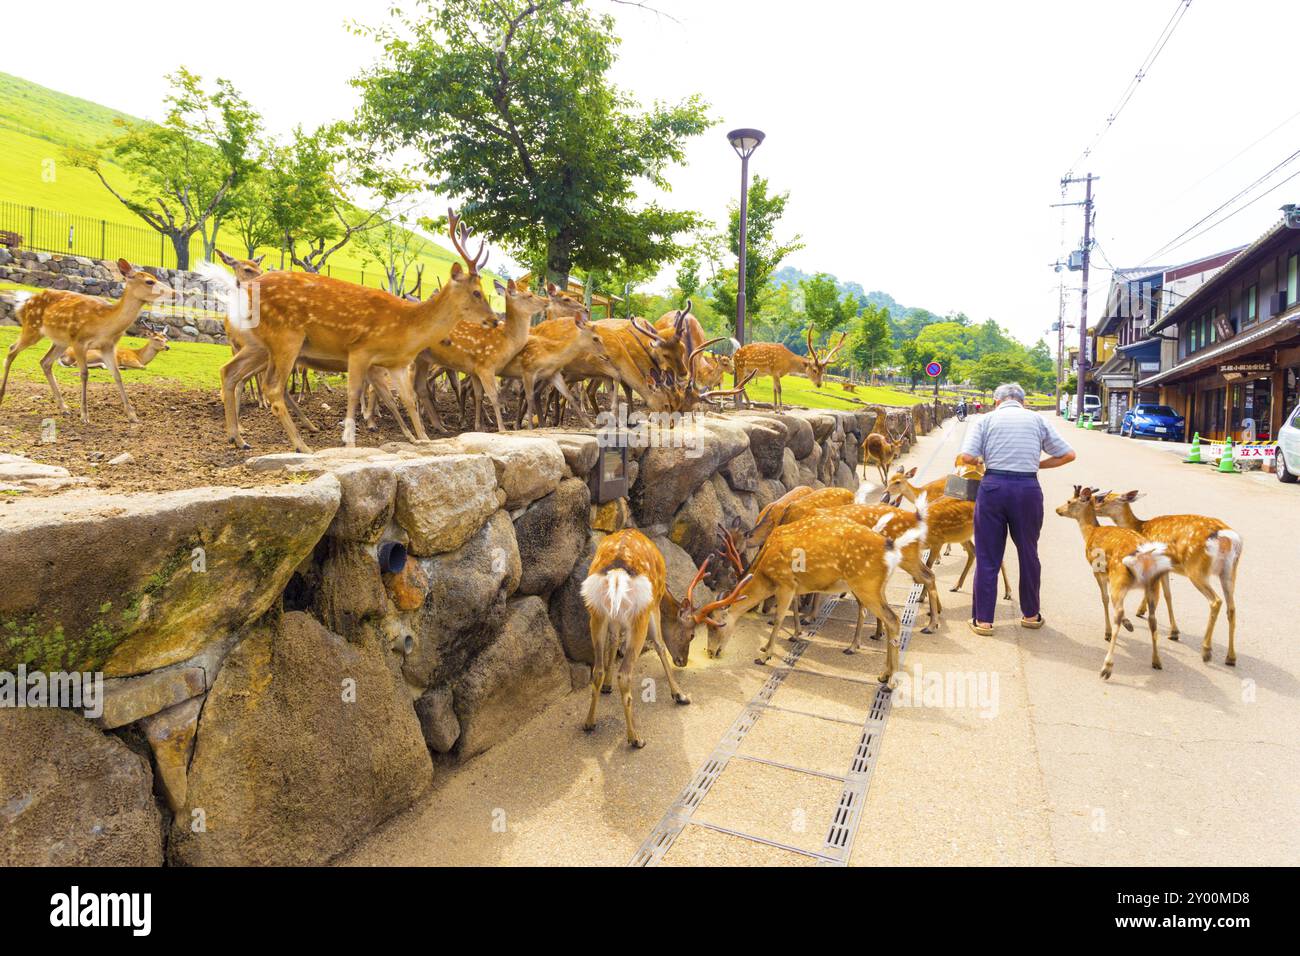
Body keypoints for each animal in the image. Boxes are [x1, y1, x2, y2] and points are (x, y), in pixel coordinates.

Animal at [1, 258, 171, 423]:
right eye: (149, 281)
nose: (173, 292)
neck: (104, 324)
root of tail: (23, 304)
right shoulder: (79, 341)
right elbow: (84, 373)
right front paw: (84, 416)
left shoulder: (108, 346)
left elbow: (117, 375)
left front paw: (132, 416)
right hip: (32, 328)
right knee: (12, 350)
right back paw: (2, 394)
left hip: (61, 341)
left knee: (45, 362)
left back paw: (64, 407)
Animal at [218, 210, 498, 452]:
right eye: (477, 292)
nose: (495, 320)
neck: (407, 328)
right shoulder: (360, 350)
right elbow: (353, 394)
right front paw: (349, 441)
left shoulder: (396, 364)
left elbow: (407, 399)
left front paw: (423, 438)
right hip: (286, 337)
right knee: (273, 387)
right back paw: (301, 445)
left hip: (258, 345)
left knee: (229, 372)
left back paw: (238, 438)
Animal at [581, 529, 751, 749]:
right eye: (692, 635)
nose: (683, 661)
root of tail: (617, 574)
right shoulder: (654, 604)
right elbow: (660, 646)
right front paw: (680, 695)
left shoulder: (615, 620)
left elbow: (614, 639)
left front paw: (607, 687)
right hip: (640, 614)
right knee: (625, 674)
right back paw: (636, 738)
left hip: (596, 614)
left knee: (597, 669)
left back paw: (589, 722)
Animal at [1056, 486, 1175, 679]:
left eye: (1069, 501)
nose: (1057, 509)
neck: (1090, 533)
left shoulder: (1097, 571)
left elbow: (1104, 599)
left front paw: (1111, 631)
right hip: (1152, 585)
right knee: (1152, 618)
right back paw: (1156, 660)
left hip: (1119, 579)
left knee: (1118, 612)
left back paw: (1107, 666)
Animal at [1092, 490, 1241, 666]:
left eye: (1104, 499)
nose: (1091, 505)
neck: (1140, 527)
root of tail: (1228, 537)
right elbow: (1167, 595)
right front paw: (1145, 612)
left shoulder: (1158, 566)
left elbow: (1166, 595)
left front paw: (1172, 630)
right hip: (1229, 570)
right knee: (1232, 608)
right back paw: (1231, 657)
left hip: (1196, 569)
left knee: (1216, 601)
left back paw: (1206, 650)